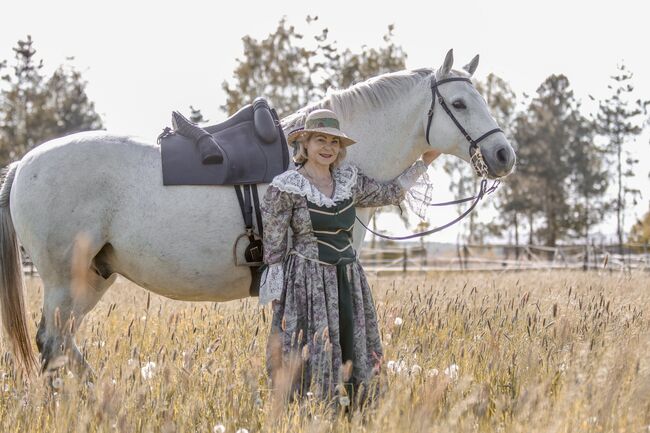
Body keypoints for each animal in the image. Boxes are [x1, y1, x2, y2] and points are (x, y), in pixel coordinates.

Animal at [1, 49, 516, 372]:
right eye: (458, 103)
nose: (503, 155)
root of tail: (24, 163)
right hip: (64, 281)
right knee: (53, 346)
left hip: (92, 278)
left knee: (62, 347)